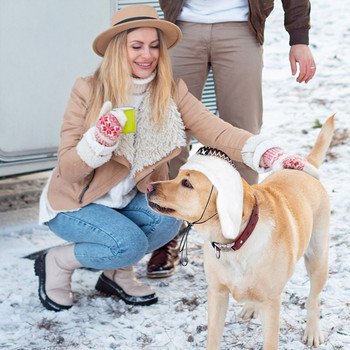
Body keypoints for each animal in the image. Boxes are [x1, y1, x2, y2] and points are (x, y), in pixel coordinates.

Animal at [146, 116, 334, 348]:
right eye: (178, 176)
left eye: (187, 183)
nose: (148, 187)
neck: (236, 243)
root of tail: (304, 168)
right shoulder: (217, 293)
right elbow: (213, 337)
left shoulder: (271, 304)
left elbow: (270, 342)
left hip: (318, 259)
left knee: (313, 299)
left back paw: (313, 330)